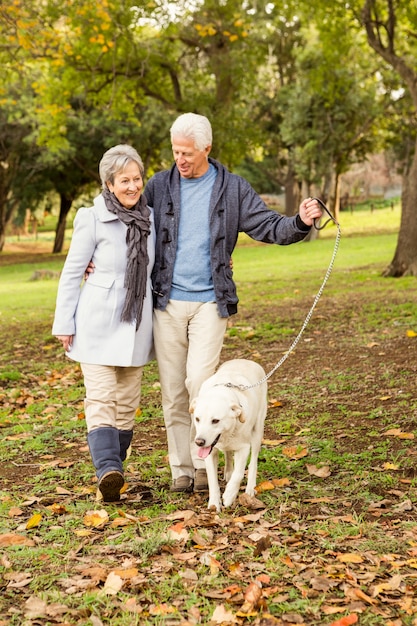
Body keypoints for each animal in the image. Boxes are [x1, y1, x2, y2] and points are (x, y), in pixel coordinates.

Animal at [191, 358, 268, 510]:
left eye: (215, 420)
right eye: (197, 419)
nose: (199, 442)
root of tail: (245, 359)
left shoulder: (244, 448)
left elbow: (239, 473)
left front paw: (229, 495)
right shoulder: (210, 454)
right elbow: (212, 480)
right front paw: (214, 503)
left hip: (257, 431)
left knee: (253, 462)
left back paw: (249, 488)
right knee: (228, 453)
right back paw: (228, 472)